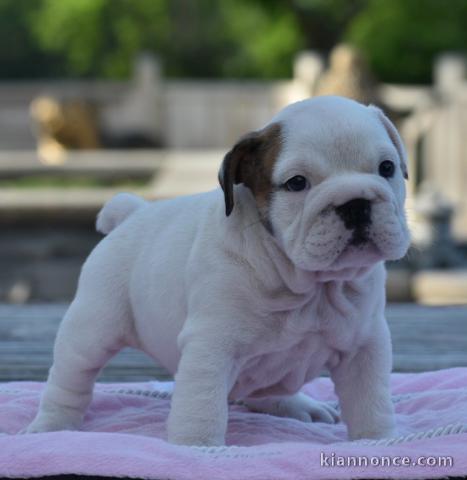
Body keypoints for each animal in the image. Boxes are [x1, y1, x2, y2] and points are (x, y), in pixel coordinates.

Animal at [27, 96, 412, 446]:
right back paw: (52, 426)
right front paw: (198, 450)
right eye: (296, 183)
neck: (309, 284)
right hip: (92, 327)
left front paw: (377, 442)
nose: (355, 202)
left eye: (387, 168)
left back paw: (298, 405)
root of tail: (132, 212)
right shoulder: (210, 347)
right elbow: (202, 408)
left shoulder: (365, 345)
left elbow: (370, 402)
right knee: (71, 378)